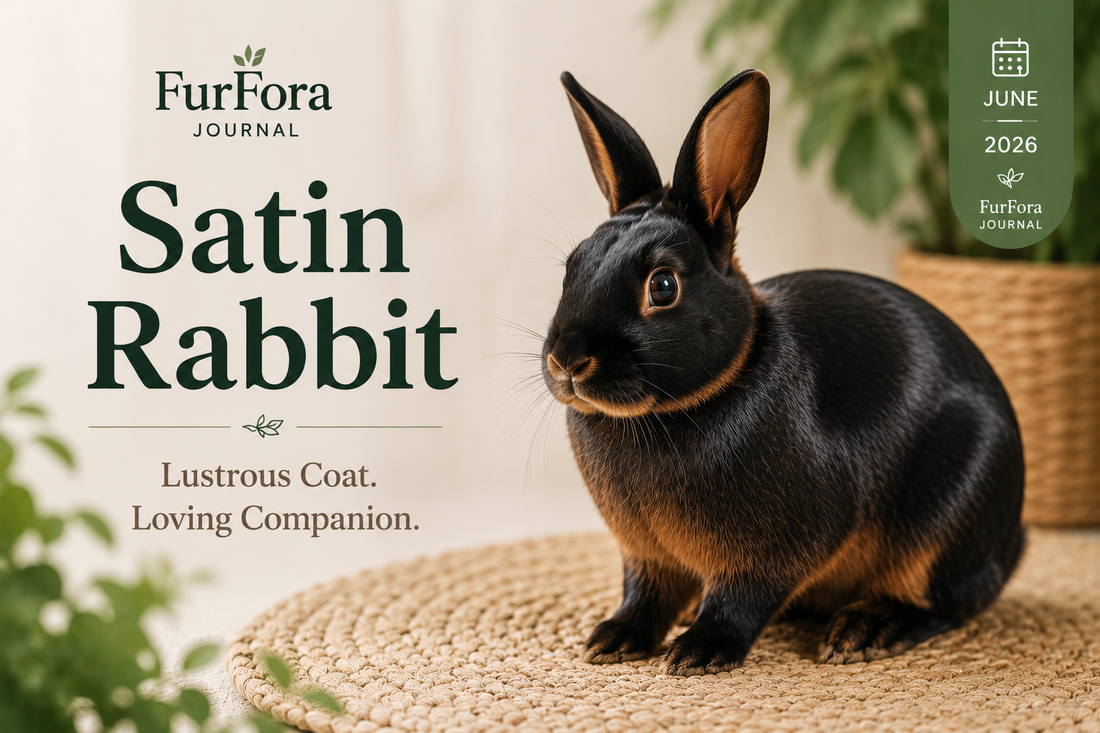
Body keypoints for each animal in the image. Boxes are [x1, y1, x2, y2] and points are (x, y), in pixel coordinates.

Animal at [542, 69, 1026, 676]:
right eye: (572, 267)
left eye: (663, 286)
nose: (567, 362)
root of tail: (1012, 541)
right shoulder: (647, 555)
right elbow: (645, 594)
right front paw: (614, 639)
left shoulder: (779, 547)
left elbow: (741, 597)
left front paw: (700, 652)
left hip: (949, 513)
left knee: (937, 601)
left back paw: (863, 631)